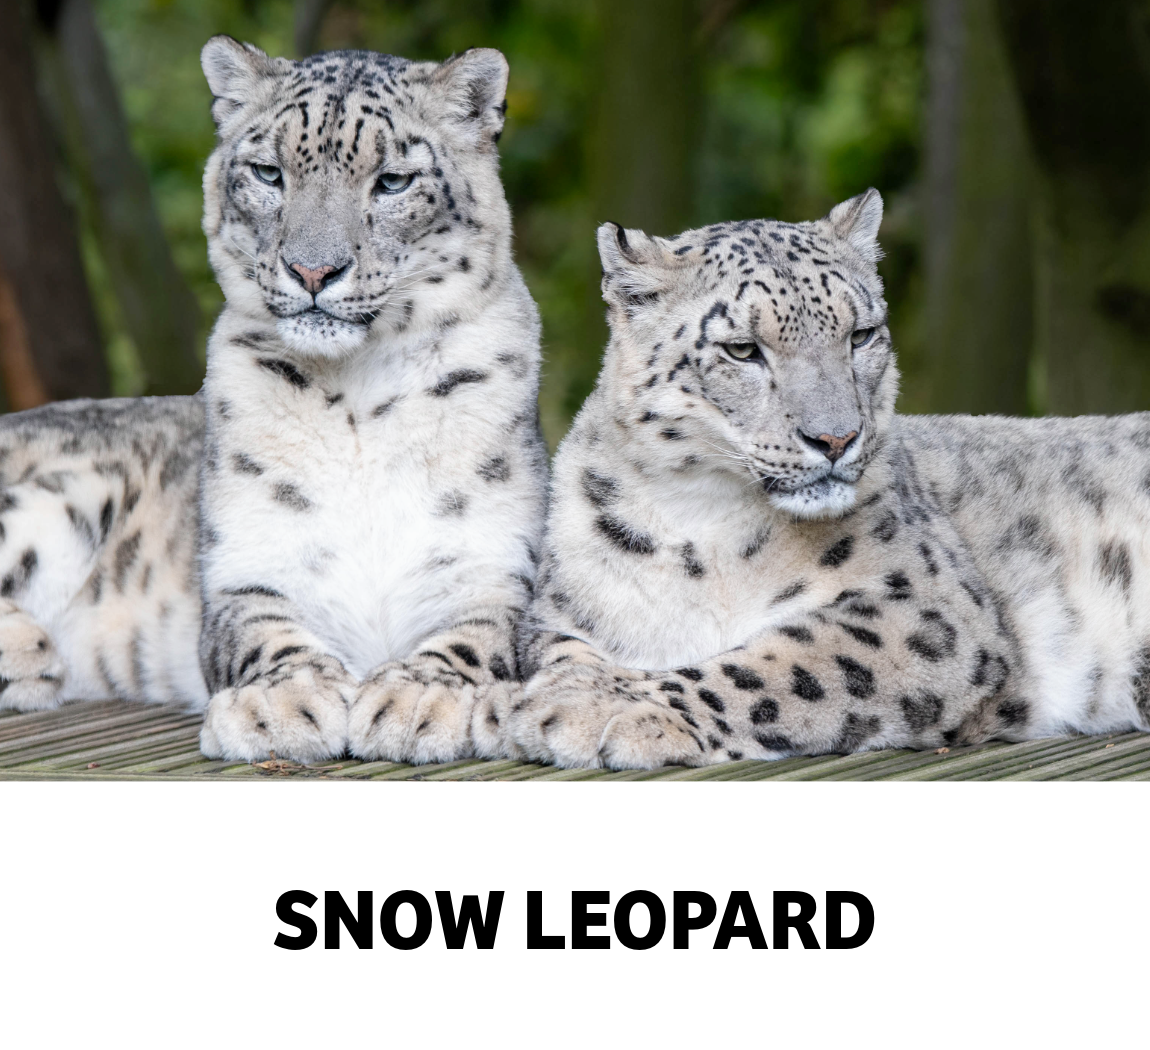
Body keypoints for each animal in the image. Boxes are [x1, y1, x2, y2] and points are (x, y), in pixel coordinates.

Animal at [0, 37, 547, 766]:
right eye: (268, 173)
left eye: (393, 182)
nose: (313, 270)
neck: (360, 402)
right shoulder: (248, 562)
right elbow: (265, 629)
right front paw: (285, 701)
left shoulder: (494, 560)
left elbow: (477, 633)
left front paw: (418, 698)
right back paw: (28, 651)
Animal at [499, 188, 1150, 769]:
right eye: (742, 349)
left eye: (860, 335)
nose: (837, 438)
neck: (704, 525)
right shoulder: (560, 614)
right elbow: (564, 653)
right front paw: (567, 694)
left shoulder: (926, 607)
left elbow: (780, 663)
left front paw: (599, 709)